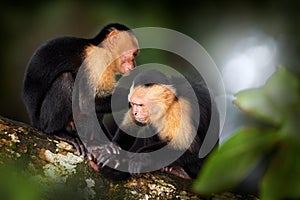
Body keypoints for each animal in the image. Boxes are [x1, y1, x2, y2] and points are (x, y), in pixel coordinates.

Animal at [22, 22, 139, 155]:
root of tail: (34, 121)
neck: (101, 48)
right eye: (133, 54)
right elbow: (86, 102)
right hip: (42, 120)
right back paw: (58, 132)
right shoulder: (97, 59)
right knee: (65, 79)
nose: (134, 64)